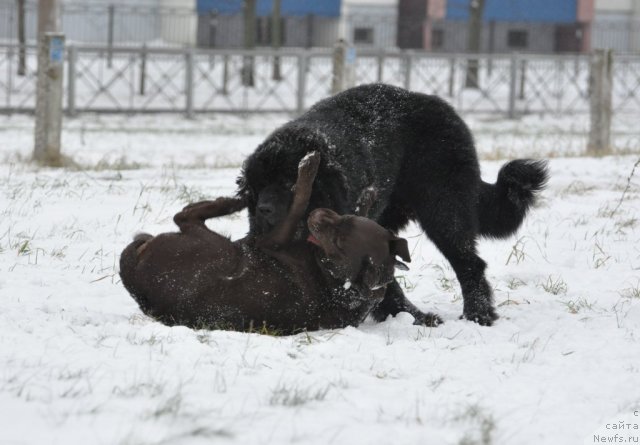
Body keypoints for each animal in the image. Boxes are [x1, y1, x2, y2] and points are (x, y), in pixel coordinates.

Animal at [119, 153, 410, 332]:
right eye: (344, 220)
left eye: (339, 243)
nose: (318, 214)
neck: (335, 281)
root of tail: (135, 280)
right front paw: (368, 196)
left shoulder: (270, 242)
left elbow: (299, 201)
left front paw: (307, 169)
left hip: (215, 248)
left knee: (185, 216)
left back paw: (232, 201)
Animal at [238, 84, 548, 326]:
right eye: (257, 186)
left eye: (288, 182)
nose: (263, 209)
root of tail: (444, 109)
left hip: (443, 209)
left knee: (468, 263)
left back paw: (477, 314)